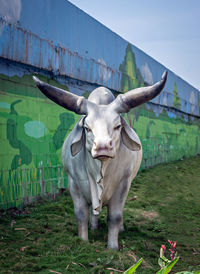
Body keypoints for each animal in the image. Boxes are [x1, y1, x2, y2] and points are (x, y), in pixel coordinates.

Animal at [32, 69, 167, 249]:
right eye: (87, 127)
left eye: (118, 126)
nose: (103, 147)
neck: (100, 170)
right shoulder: (74, 183)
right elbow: (81, 214)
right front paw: (83, 240)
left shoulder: (123, 184)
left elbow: (115, 216)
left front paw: (113, 246)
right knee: (92, 211)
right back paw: (94, 226)